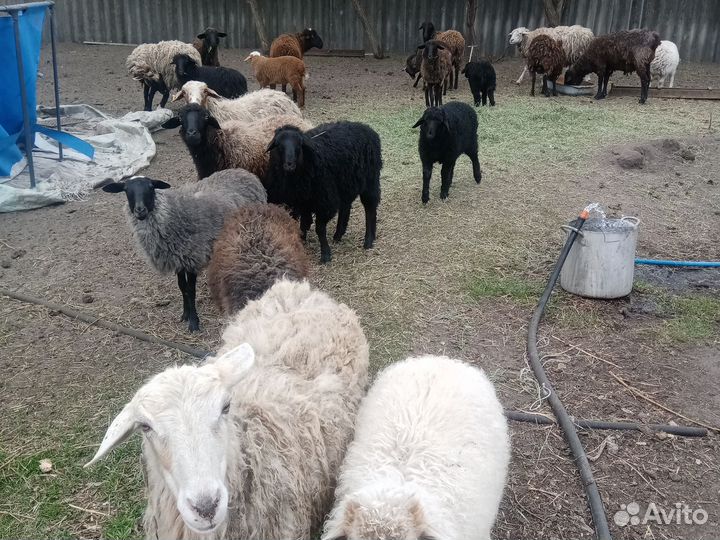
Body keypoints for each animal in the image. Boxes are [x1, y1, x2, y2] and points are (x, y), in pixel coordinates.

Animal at [100, 169, 266, 332]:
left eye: (151, 187)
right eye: (126, 189)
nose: (140, 210)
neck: (173, 216)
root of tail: (245, 172)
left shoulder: (192, 258)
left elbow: (191, 291)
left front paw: (194, 322)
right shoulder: (178, 259)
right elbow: (182, 288)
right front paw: (185, 314)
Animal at [265, 122, 382, 264]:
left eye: (299, 144)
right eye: (279, 144)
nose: (289, 164)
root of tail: (365, 127)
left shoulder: (325, 202)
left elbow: (320, 229)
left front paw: (325, 254)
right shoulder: (301, 202)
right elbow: (303, 223)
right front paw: (301, 240)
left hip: (370, 179)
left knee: (370, 207)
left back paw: (368, 240)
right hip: (345, 182)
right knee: (345, 206)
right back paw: (338, 234)